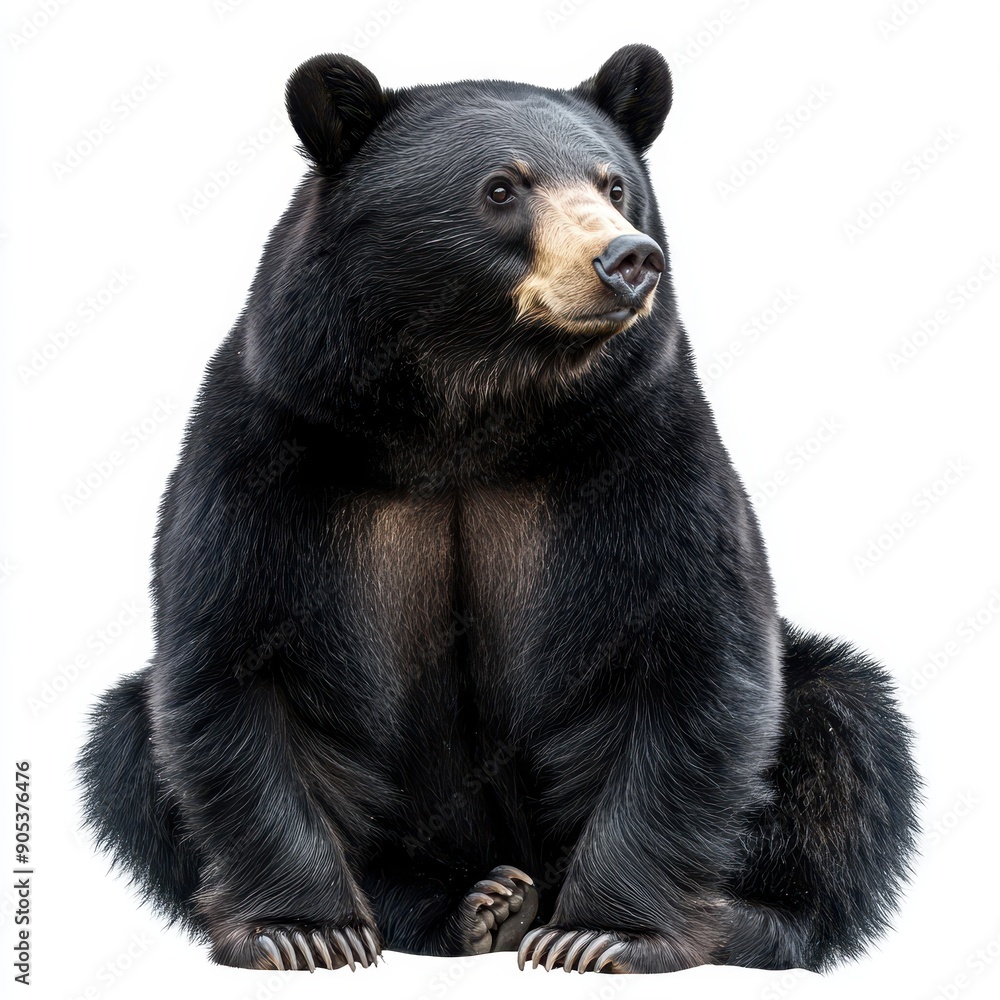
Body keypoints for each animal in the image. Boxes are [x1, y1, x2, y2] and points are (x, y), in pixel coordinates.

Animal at [78, 44, 919, 975]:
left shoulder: (642, 449)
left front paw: (601, 934)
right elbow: (241, 664)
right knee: (127, 741)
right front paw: (302, 931)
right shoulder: (277, 443)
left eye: (614, 185)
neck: (472, 406)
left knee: (842, 728)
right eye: (502, 188)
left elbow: (689, 659)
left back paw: (744, 921)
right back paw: (473, 904)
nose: (628, 258)